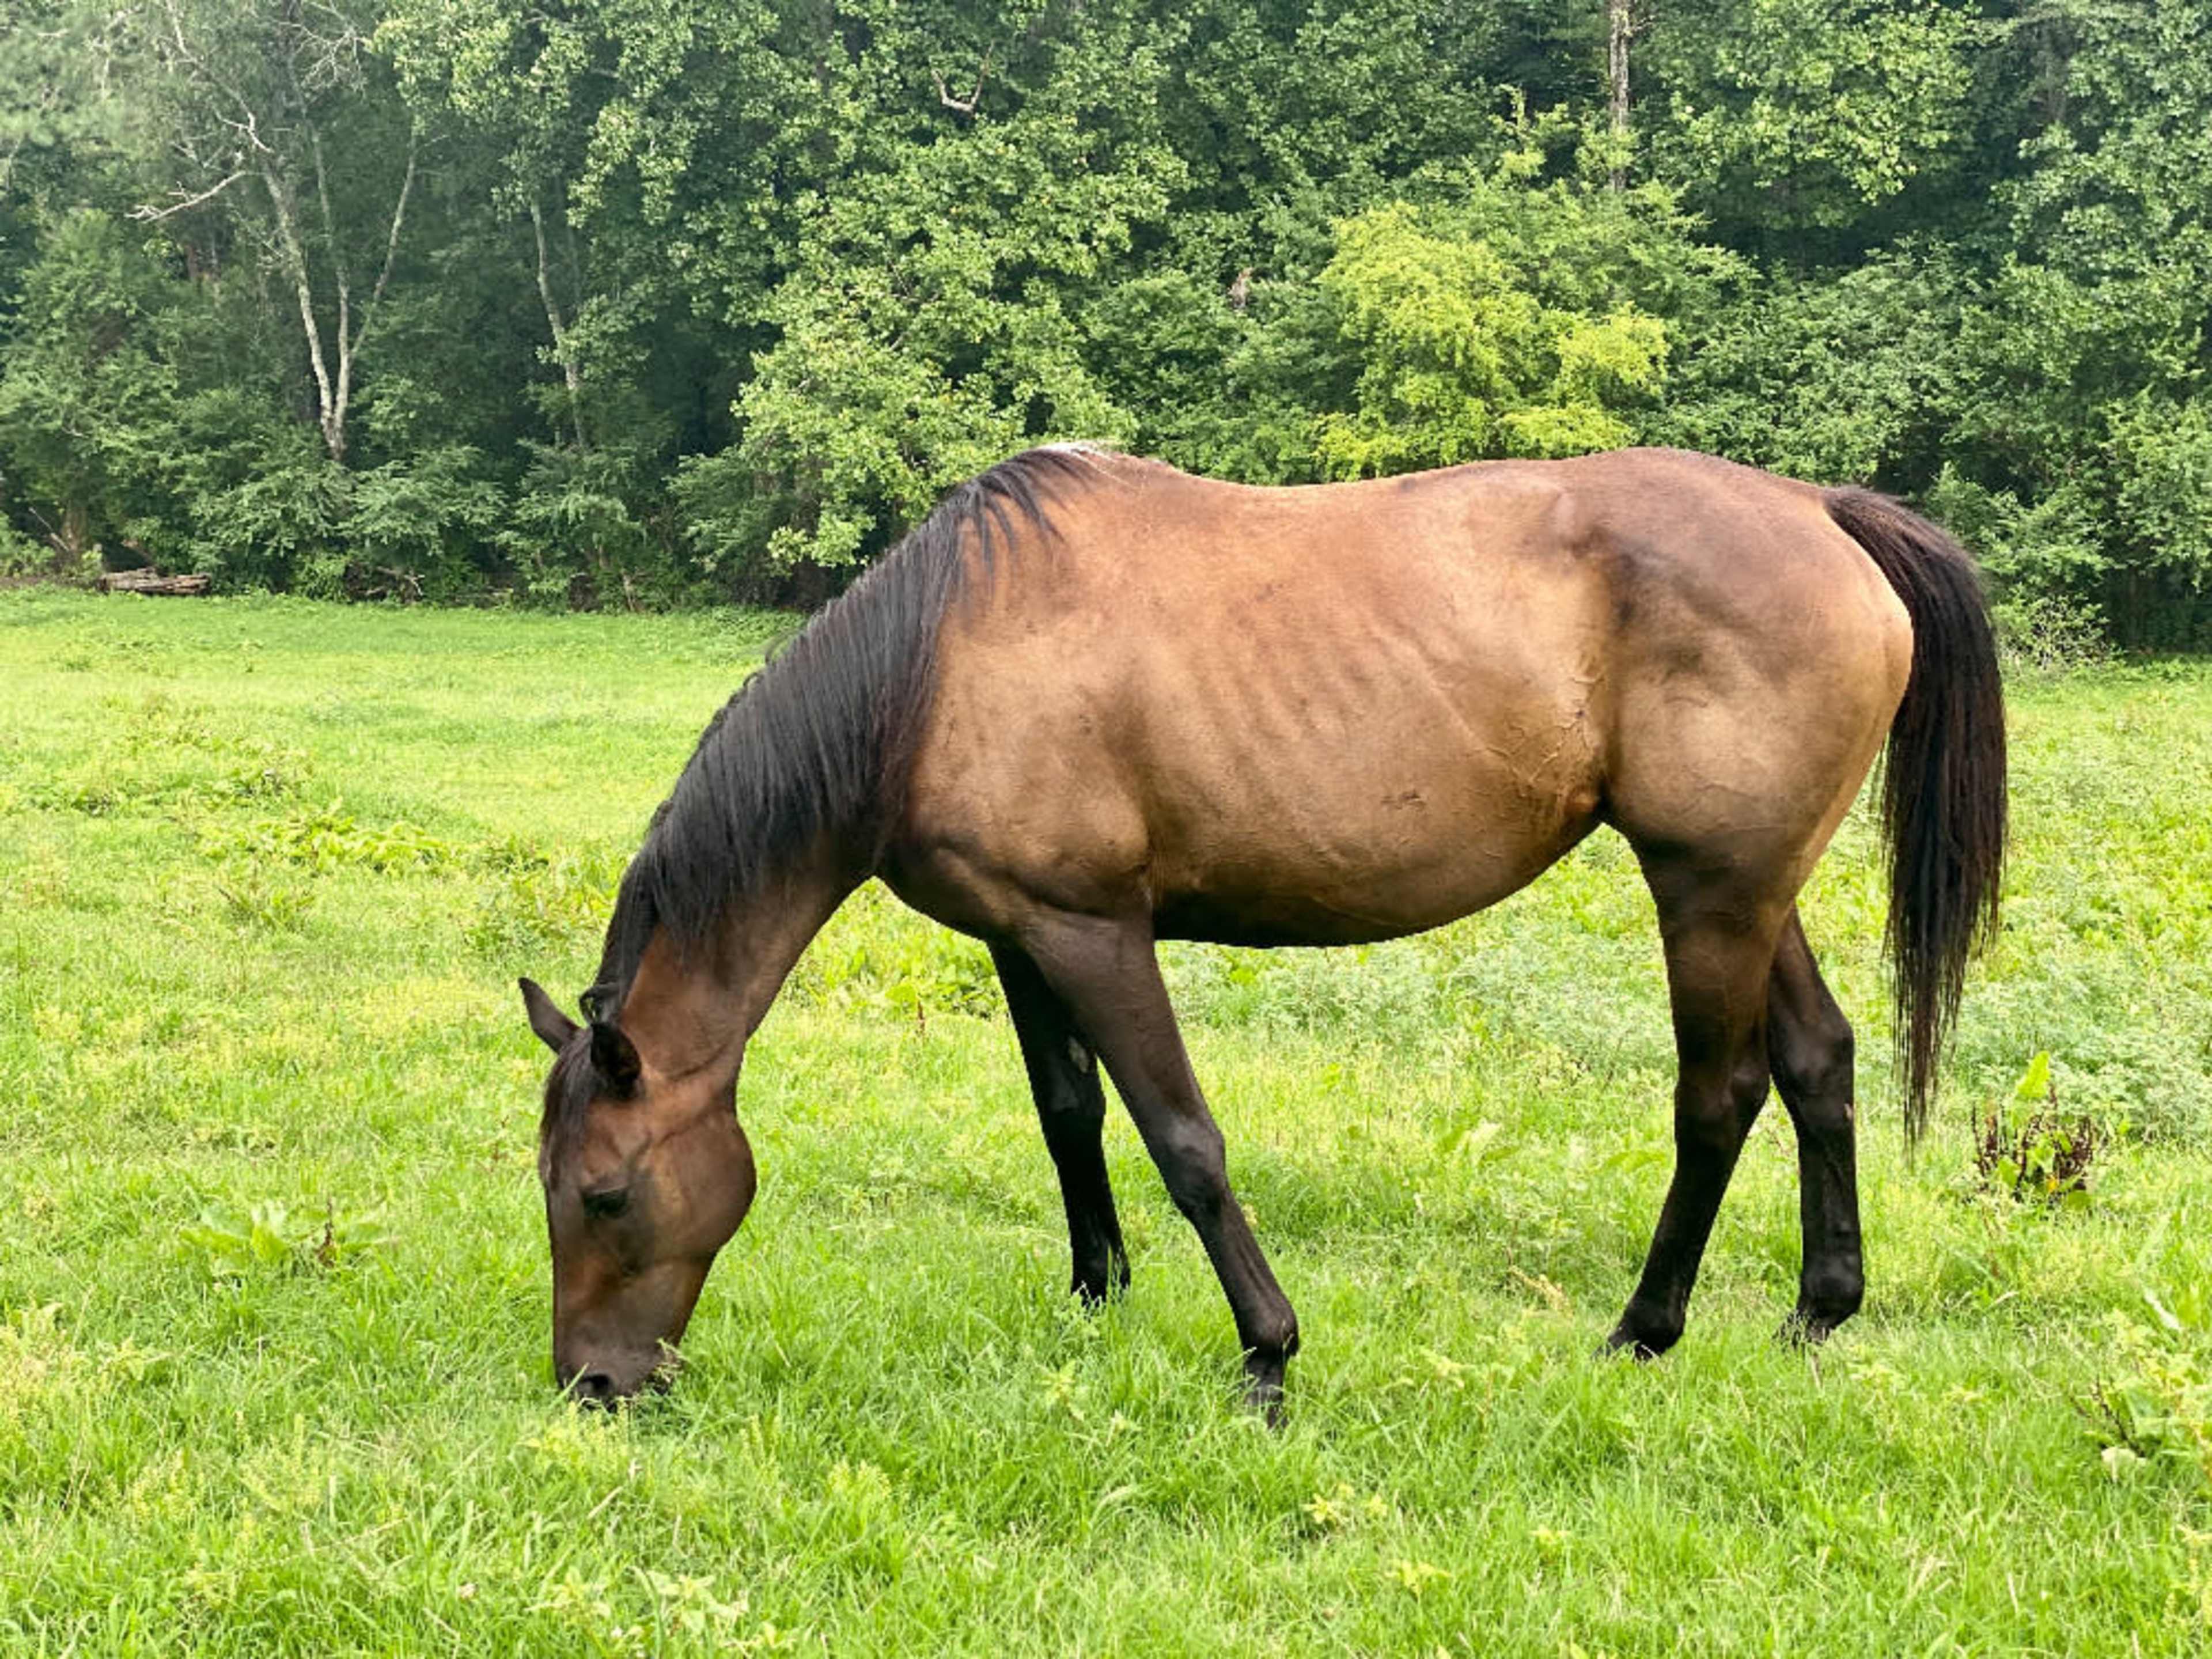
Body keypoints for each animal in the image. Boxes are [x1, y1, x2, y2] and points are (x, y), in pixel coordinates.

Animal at [517, 444, 2006, 1412]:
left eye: (604, 1192)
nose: (592, 1385)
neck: (935, 671)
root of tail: (1819, 510)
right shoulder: (1019, 937)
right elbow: (1069, 1114)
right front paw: (1097, 1297)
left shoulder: (1092, 930)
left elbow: (1183, 1140)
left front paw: (1267, 1357)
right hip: (1749, 891)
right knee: (1816, 1061)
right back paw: (1818, 1310)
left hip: (1708, 895)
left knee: (1720, 1095)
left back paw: (1646, 1331)